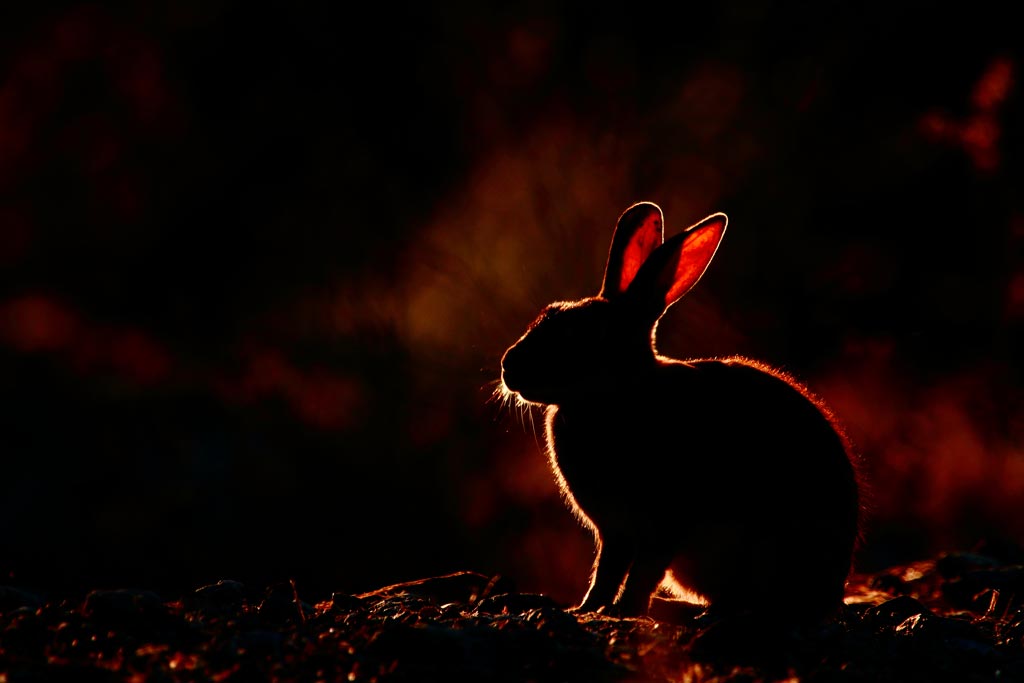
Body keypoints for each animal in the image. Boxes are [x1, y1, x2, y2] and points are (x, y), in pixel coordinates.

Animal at [499, 201, 860, 626]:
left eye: (581, 334)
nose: (508, 366)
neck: (616, 394)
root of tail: (832, 590)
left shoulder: (663, 524)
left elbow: (642, 571)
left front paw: (622, 611)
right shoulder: (615, 533)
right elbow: (607, 571)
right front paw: (586, 609)